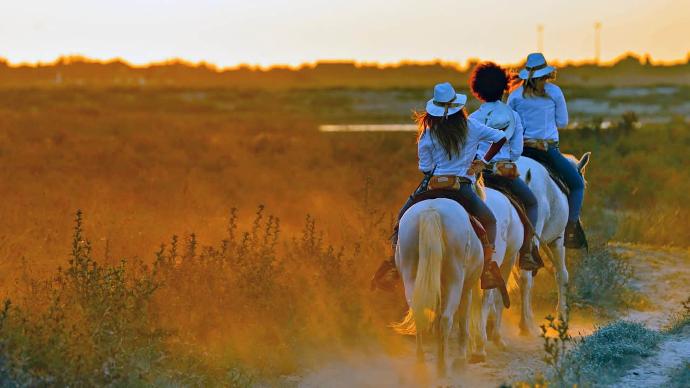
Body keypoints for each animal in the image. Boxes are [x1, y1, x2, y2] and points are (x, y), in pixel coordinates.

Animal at [390, 199, 482, 374]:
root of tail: (431, 211)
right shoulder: (466, 289)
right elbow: (463, 323)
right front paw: (461, 359)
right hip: (455, 280)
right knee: (446, 319)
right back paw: (442, 366)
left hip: (410, 274)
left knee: (419, 313)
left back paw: (421, 360)